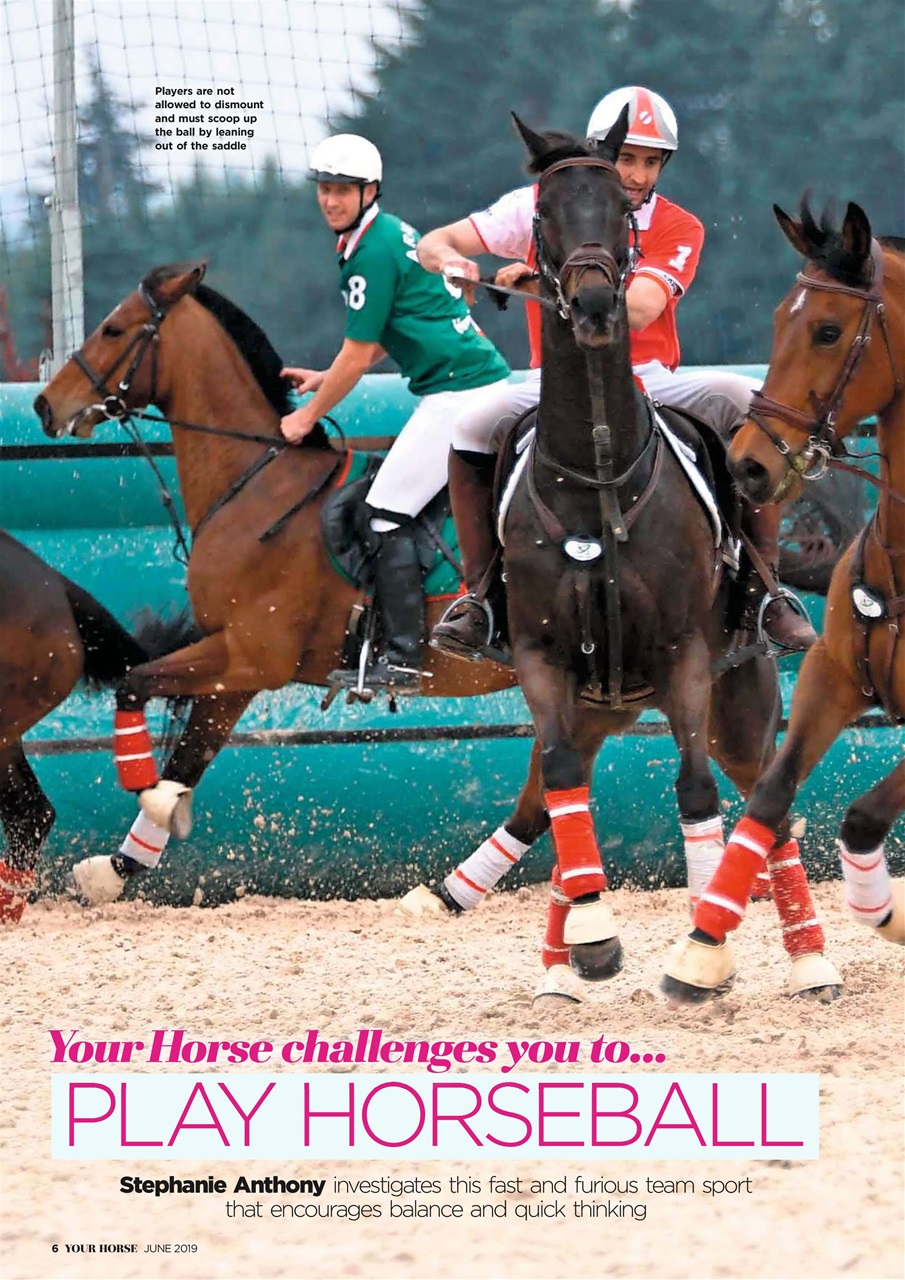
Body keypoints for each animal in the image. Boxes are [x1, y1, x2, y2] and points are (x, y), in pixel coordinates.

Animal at [481, 114, 842, 1003]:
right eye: (540, 212)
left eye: (622, 210)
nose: (593, 300)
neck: (597, 474)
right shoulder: (542, 657)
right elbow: (563, 779)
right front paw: (592, 935)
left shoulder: (683, 655)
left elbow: (695, 787)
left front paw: (704, 953)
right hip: (600, 701)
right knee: (560, 789)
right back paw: (560, 966)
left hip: (737, 692)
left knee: (766, 798)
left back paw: (808, 959)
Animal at [663, 199, 905, 1000]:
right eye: (777, 321)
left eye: (828, 330)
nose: (747, 465)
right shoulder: (832, 676)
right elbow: (770, 798)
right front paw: (701, 950)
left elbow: (863, 817)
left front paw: (883, 910)